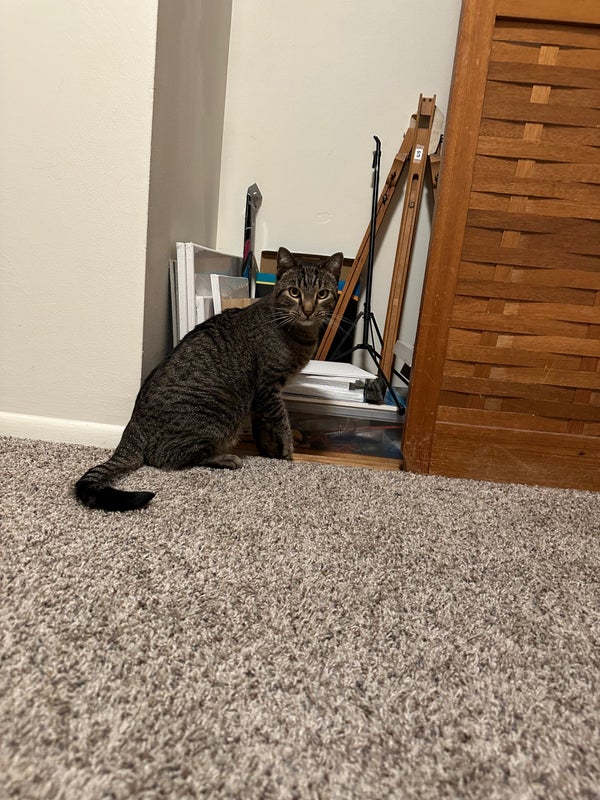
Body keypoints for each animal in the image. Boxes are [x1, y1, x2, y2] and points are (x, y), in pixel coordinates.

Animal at [75, 247, 342, 511]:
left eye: (322, 294)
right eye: (294, 292)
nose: (308, 309)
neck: (299, 334)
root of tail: (133, 424)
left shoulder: (262, 397)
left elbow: (262, 428)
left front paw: (269, 450)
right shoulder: (268, 388)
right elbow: (281, 423)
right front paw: (287, 452)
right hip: (221, 415)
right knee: (165, 458)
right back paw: (225, 458)